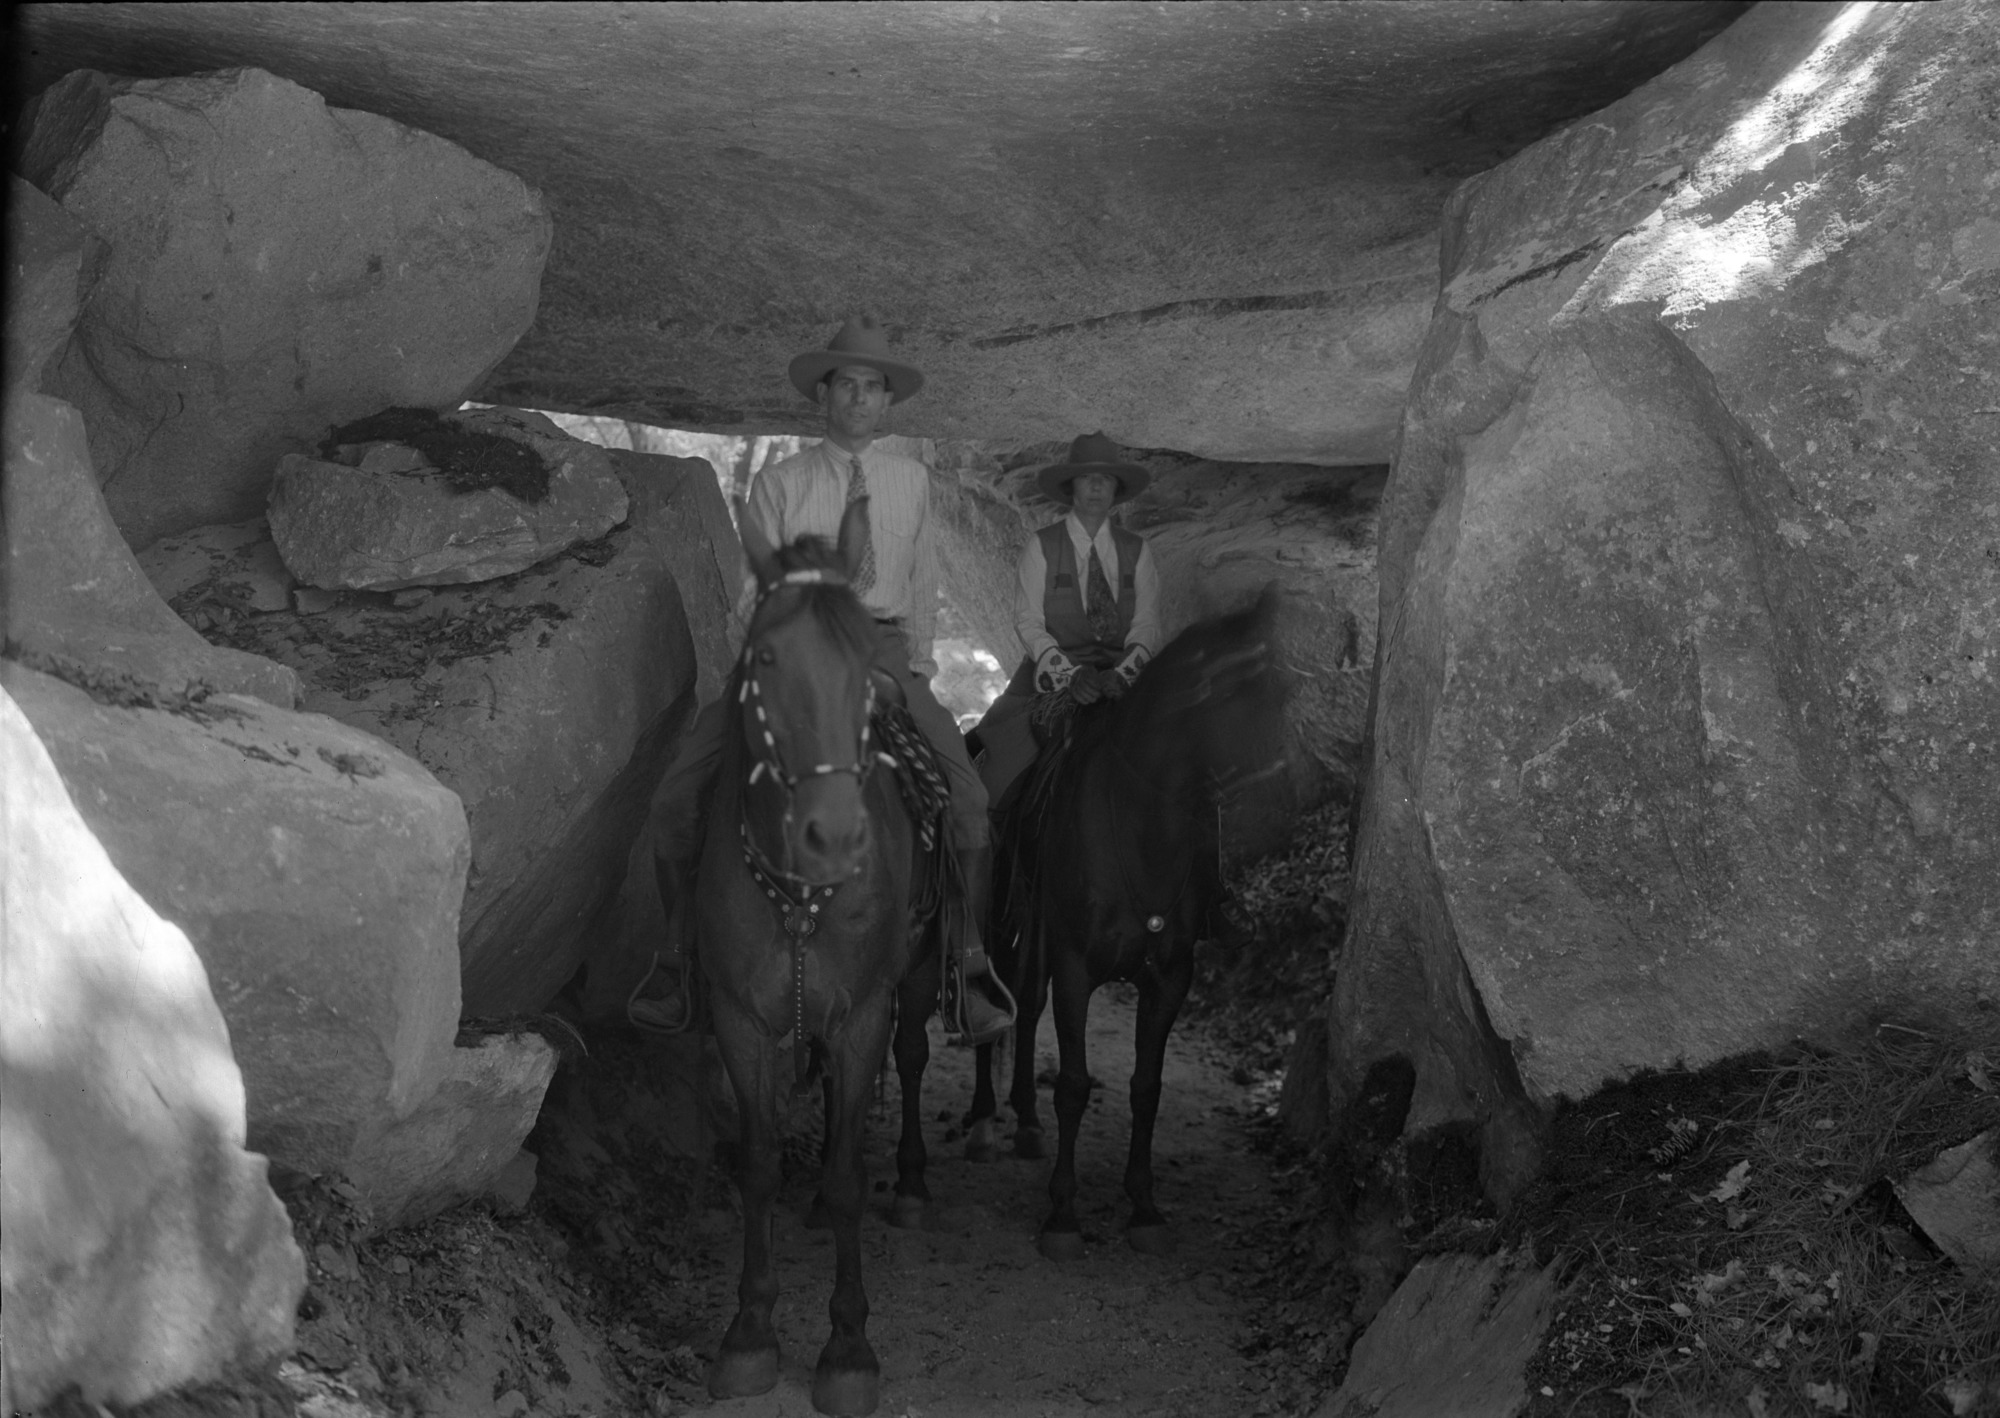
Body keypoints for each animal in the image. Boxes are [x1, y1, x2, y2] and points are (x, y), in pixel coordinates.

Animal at [696, 504, 952, 1408]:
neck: (803, 892)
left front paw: (848, 1349)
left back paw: (910, 1187)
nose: (836, 835)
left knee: (908, 1061)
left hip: (916, 980)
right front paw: (749, 1332)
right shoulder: (739, 1020)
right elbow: (759, 1166)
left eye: (866, 665)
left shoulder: (861, 1015)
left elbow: (845, 1176)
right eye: (768, 656)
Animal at [964, 588, 1288, 1264]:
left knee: (1027, 1008)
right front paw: (1062, 1214)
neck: (1143, 831)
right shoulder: (1075, 966)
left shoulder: (1169, 977)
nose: (1276, 794)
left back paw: (1026, 1122)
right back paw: (983, 1122)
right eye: (1227, 691)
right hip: (1001, 924)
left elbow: (1146, 1087)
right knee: (1000, 1004)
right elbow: (1074, 1084)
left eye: (1277, 689)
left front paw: (1144, 1206)